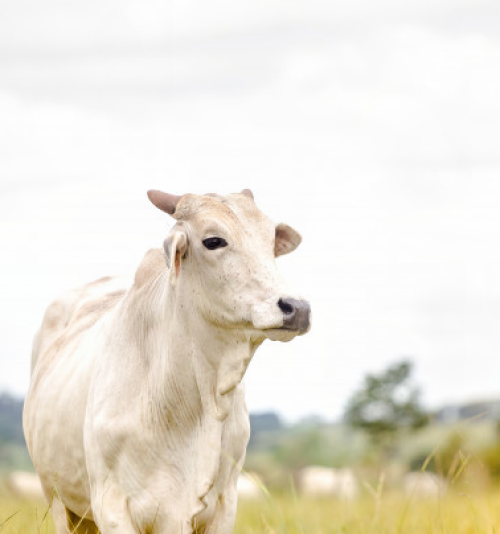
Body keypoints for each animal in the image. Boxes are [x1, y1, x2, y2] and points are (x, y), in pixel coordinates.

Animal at [24, 192, 312, 534]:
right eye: (213, 241)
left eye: (270, 241)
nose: (297, 307)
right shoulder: (111, 506)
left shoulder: (223, 505)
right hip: (57, 499)